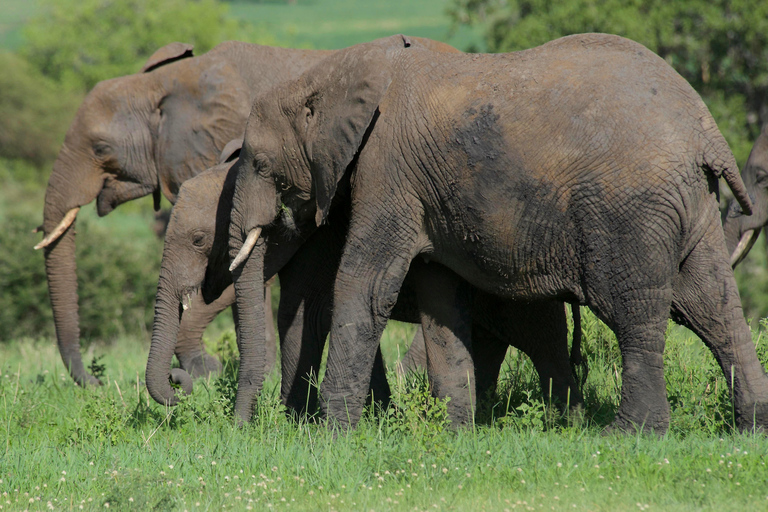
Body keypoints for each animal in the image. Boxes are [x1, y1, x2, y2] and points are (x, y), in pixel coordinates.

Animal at [150, 139, 584, 420]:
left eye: (199, 240)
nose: (181, 384)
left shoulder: (325, 240)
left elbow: (308, 314)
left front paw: (296, 421)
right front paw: (380, 416)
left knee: (542, 341)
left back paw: (566, 422)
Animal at [230, 32, 768, 434]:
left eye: (261, 164)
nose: (245, 430)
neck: (328, 73)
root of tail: (705, 130)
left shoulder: (387, 171)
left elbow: (366, 285)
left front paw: (332, 437)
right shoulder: (424, 193)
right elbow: (441, 298)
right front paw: (453, 434)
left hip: (629, 208)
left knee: (633, 309)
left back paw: (627, 434)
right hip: (690, 201)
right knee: (710, 303)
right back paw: (750, 428)